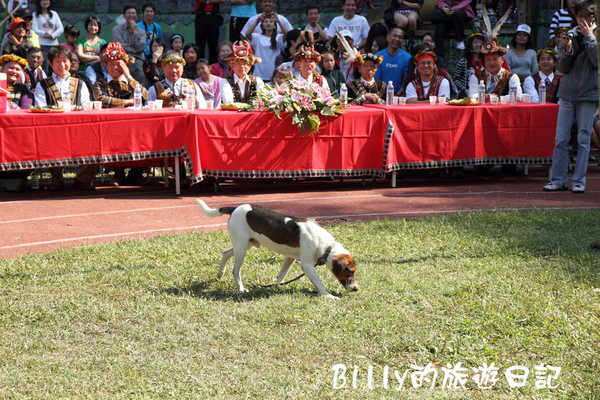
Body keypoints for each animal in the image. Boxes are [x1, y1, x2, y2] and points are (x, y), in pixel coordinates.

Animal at [197, 198, 356, 298]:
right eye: (350, 271)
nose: (356, 289)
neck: (327, 247)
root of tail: (235, 208)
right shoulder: (307, 265)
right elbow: (320, 284)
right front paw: (329, 296)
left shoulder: (290, 258)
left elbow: (281, 276)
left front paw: (278, 287)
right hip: (242, 248)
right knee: (235, 270)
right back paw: (241, 288)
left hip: (245, 244)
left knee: (225, 253)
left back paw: (220, 274)